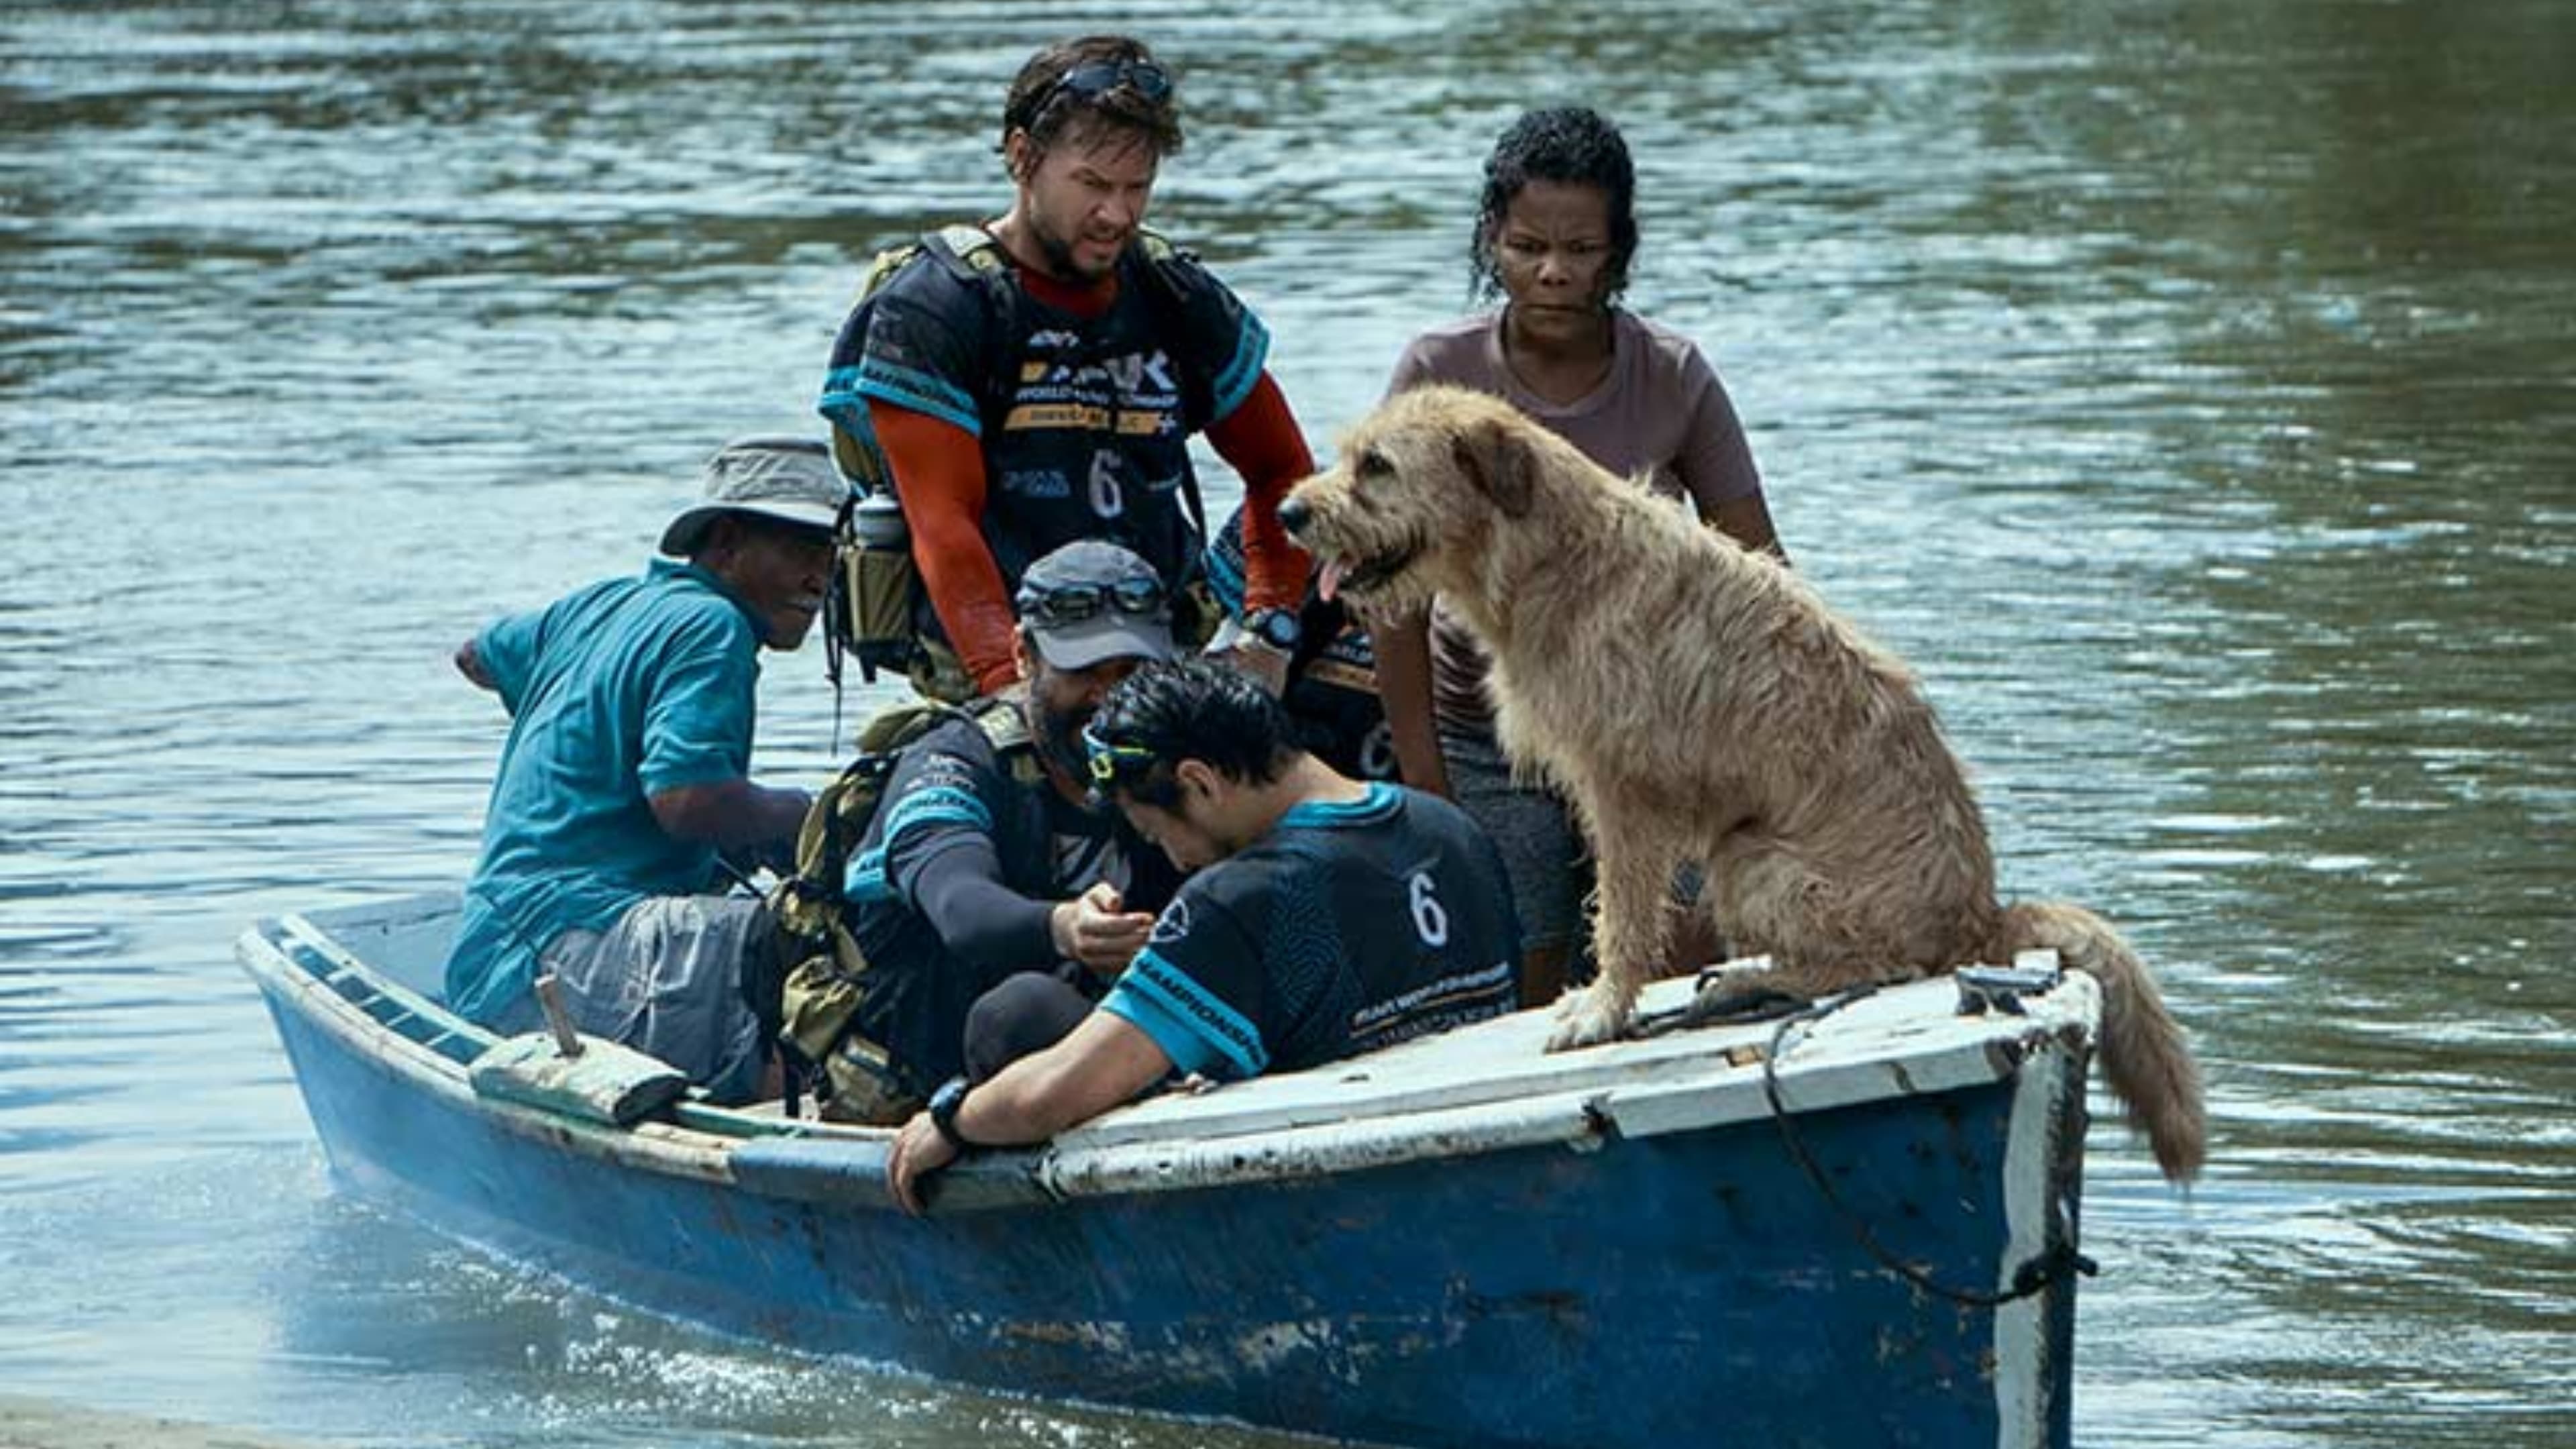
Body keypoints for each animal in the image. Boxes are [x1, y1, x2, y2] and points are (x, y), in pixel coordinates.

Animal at [1288, 386, 2215, 1185]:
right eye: (1351, 455)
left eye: (1378, 465)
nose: (1293, 512)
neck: (1552, 555)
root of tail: (1982, 918)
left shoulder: (1624, 789)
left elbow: (1623, 917)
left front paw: (1600, 1010)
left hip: (1754, 860)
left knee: (1869, 967)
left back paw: (1748, 979)